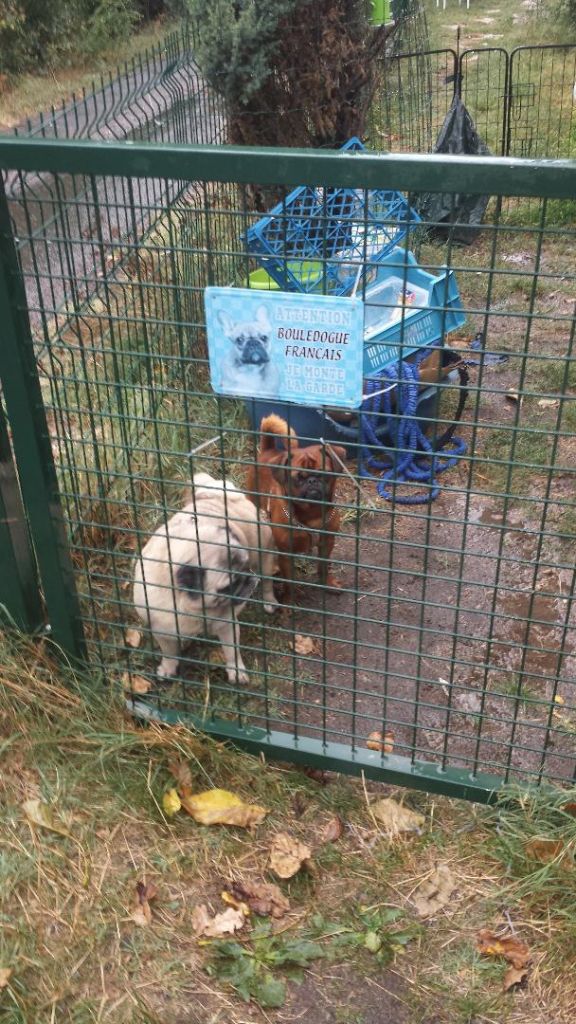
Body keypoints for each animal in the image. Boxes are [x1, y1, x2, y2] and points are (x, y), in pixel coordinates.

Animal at [243, 409, 342, 598]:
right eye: (298, 477)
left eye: (324, 473)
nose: (312, 480)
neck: (312, 513)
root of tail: (268, 450)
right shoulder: (286, 554)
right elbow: (289, 581)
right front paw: (289, 600)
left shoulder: (327, 543)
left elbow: (323, 567)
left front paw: (327, 583)